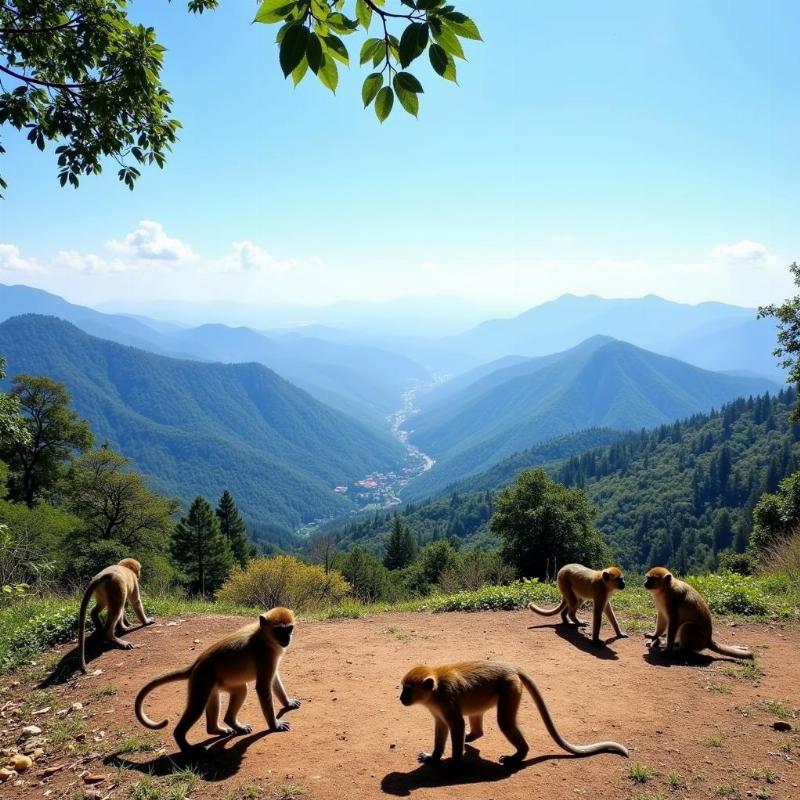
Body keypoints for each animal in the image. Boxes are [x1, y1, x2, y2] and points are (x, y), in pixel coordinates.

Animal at [136, 608, 302, 752]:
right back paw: (185, 744)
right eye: (279, 630)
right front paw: (274, 725)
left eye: (289, 629)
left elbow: (273, 679)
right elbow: (263, 686)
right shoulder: (264, 655)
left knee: (235, 691)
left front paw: (287, 703)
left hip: (214, 683)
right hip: (201, 679)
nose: (287, 638)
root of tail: (197, 664)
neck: (264, 637)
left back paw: (220, 727)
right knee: (197, 707)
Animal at [396, 660, 628, 764]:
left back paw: (520, 754)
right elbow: (442, 726)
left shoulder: (447, 698)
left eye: (408, 690)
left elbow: (456, 725)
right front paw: (433, 756)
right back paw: (474, 736)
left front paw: (454, 764)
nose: (401, 698)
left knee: (504, 722)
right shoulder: (437, 707)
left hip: (510, 688)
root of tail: (511, 668)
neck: (435, 692)